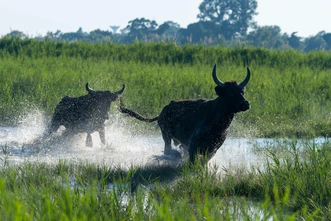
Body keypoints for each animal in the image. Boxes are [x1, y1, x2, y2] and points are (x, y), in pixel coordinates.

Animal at [120, 64, 252, 163]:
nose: (245, 104)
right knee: (168, 150)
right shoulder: (193, 145)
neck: (217, 122)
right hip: (166, 135)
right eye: (230, 93)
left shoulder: (213, 149)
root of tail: (162, 111)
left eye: (242, 92)